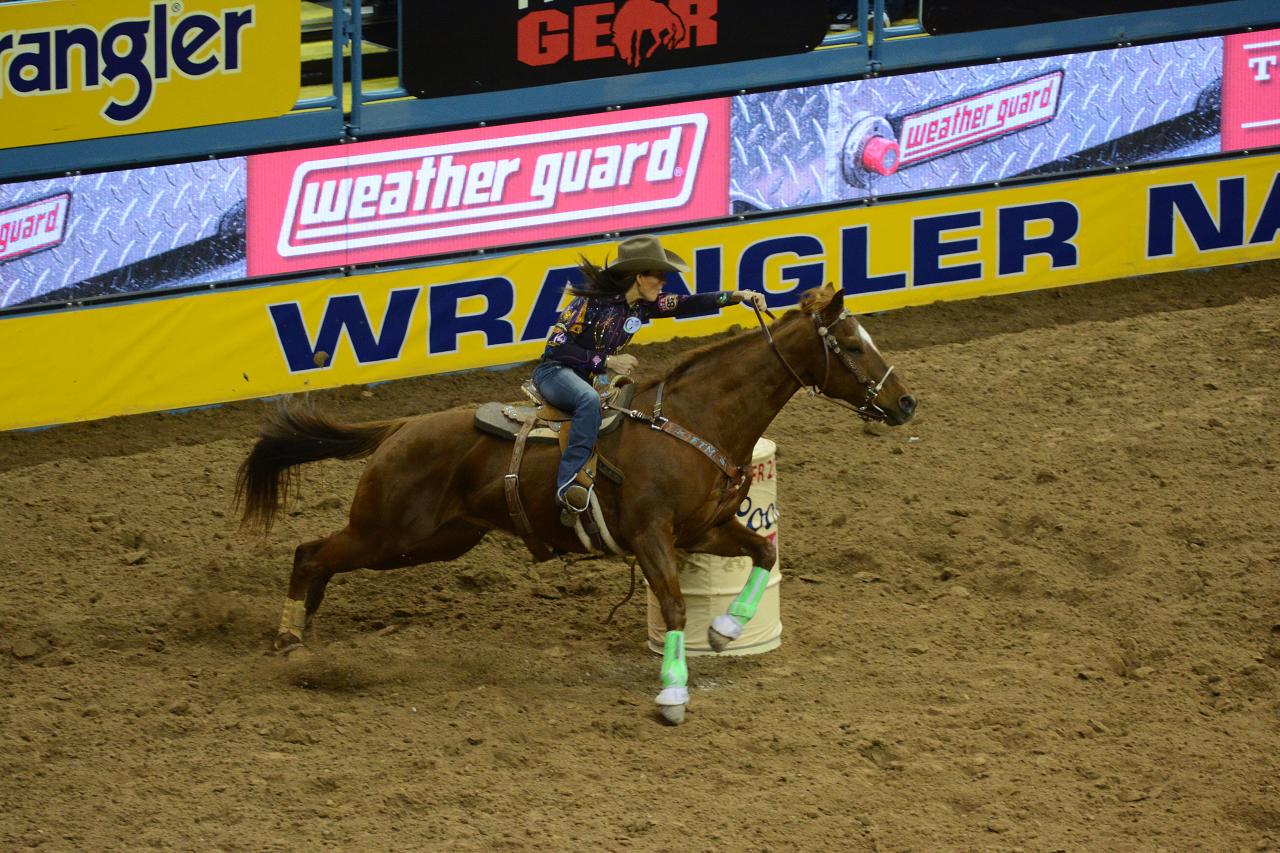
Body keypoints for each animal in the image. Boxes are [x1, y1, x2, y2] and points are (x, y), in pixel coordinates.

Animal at [236, 284, 917, 724]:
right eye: (853, 346)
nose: (906, 403)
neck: (693, 420)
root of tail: (401, 427)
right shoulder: (650, 534)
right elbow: (674, 605)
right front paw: (672, 695)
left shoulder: (705, 529)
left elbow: (764, 554)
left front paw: (725, 630)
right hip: (389, 531)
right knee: (310, 552)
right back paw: (290, 637)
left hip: (430, 540)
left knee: (320, 556)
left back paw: (302, 629)